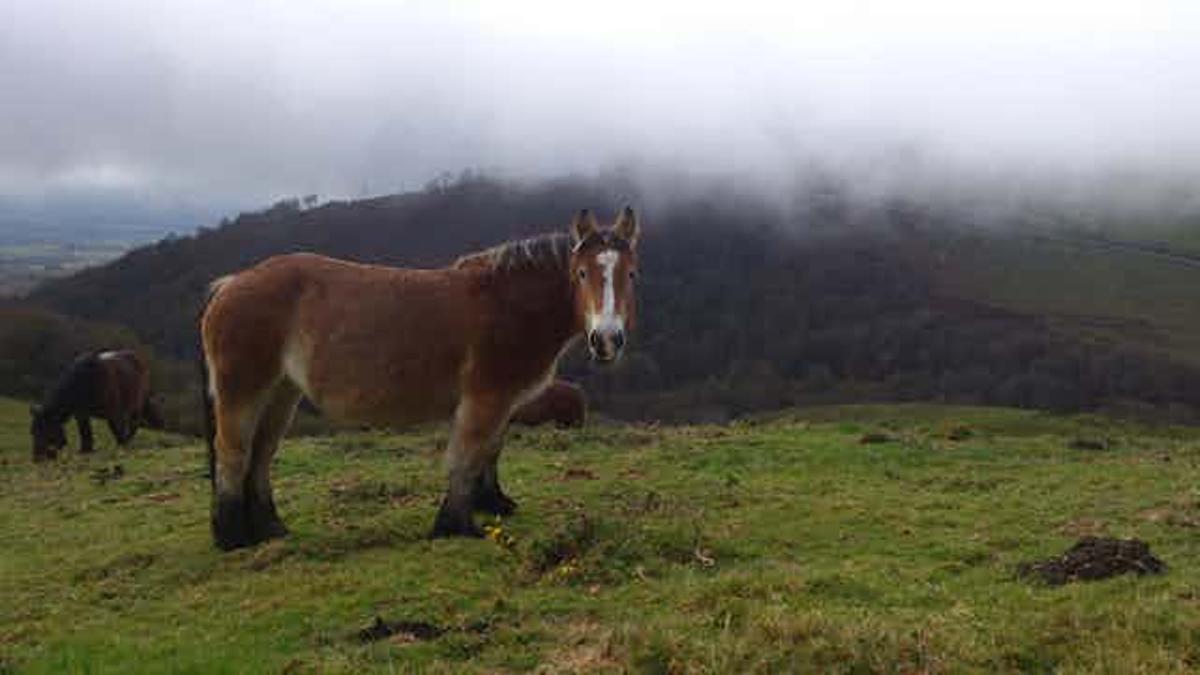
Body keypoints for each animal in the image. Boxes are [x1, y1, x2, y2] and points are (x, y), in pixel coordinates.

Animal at [30, 349, 162, 461]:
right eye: (33, 432)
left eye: (46, 431)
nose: (37, 459)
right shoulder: (81, 414)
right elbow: (85, 433)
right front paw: (86, 451)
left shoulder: (113, 413)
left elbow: (116, 431)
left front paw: (122, 448)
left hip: (136, 405)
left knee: (134, 424)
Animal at [200, 208, 640, 550]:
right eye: (581, 273)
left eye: (631, 274)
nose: (607, 340)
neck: (508, 303)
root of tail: (230, 283)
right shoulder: (485, 398)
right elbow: (466, 457)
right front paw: (455, 525)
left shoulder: (503, 403)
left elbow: (490, 452)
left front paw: (493, 503)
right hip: (244, 390)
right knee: (234, 453)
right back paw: (233, 536)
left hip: (281, 393)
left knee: (261, 454)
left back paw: (270, 528)